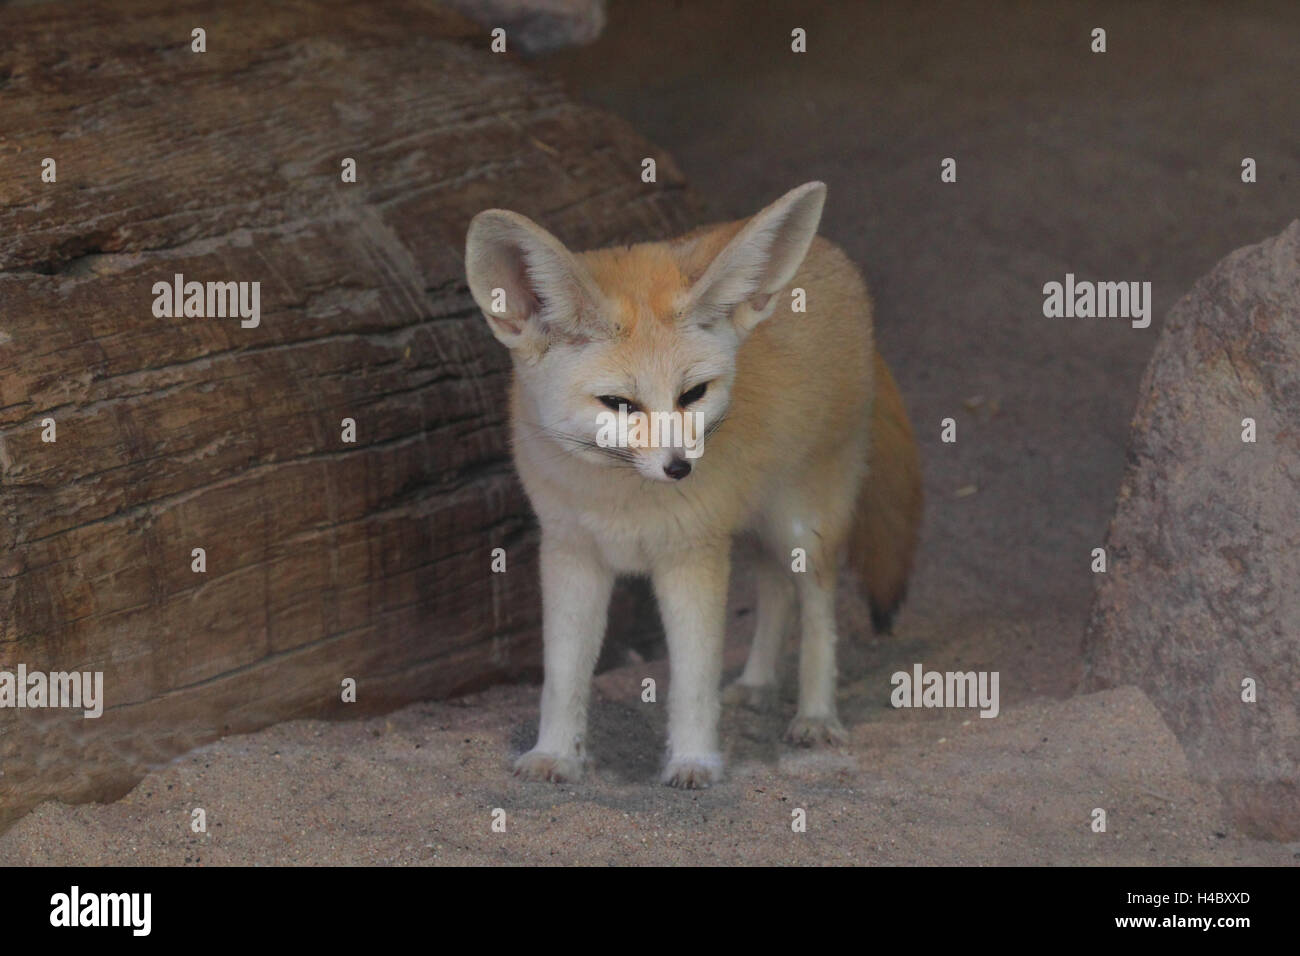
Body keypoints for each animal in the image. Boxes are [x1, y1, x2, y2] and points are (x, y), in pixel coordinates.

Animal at [467, 183, 925, 790]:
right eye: (618, 404)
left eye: (693, 394)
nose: (679, 468)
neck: (622, 502)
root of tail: (834, 255)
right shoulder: (572, 554)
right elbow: (563, 675)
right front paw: (556, 754)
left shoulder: (692, 556)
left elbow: (693, 679)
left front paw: (693, 760)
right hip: (755, 527)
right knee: (775, 588)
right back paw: (757, 684)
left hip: (804, 527)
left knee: (818, 609)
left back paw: (815, 714)